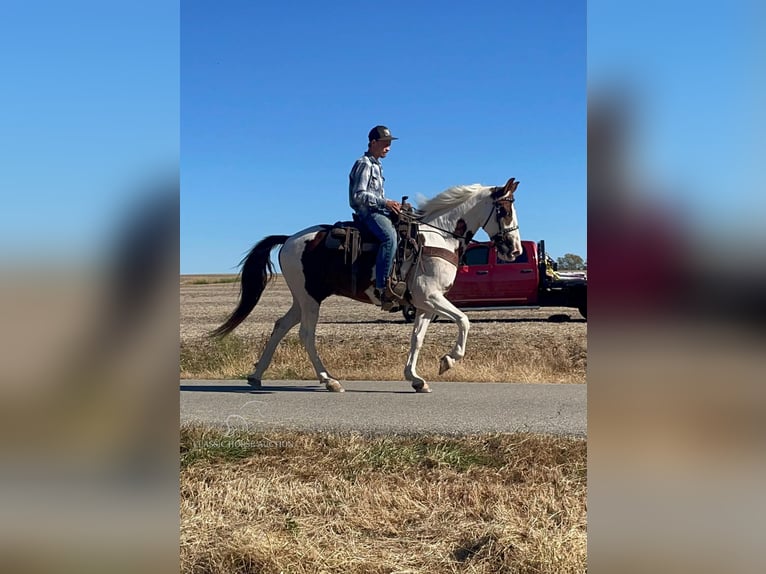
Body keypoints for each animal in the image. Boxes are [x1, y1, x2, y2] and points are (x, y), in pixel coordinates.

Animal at [210, 176, 520, 394]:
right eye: (505, 210)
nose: (514, 249)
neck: (438, 238)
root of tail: (288, 239)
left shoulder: (425, 304)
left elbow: (417, 338)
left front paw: (416, 379)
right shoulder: (431, 297)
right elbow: (464, 320)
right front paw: (449, 360)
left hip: (303, 297)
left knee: (280, 326)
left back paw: (256, 375)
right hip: (310, 299)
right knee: (305, 334)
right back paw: (329, 380)